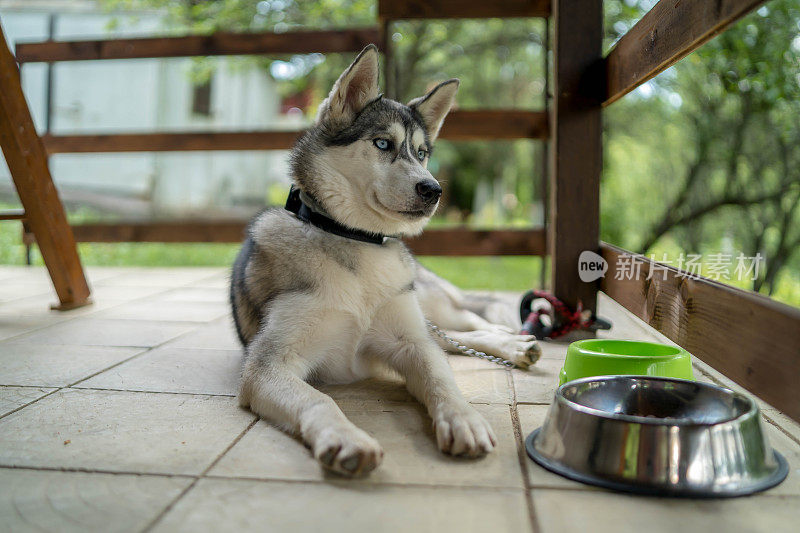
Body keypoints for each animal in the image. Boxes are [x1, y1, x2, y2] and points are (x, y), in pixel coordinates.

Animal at [230, 45, 536, 476]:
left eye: (422, 153)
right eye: (383, 144)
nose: (433, 190)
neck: (356, 241)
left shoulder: (411, 343)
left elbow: (441, 379)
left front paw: (463, 418)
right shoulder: (269, 364)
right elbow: (319, 398)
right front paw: (346, 439)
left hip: (428, 304)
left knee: (466, 324)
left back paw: (513, 339)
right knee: (455, 337)